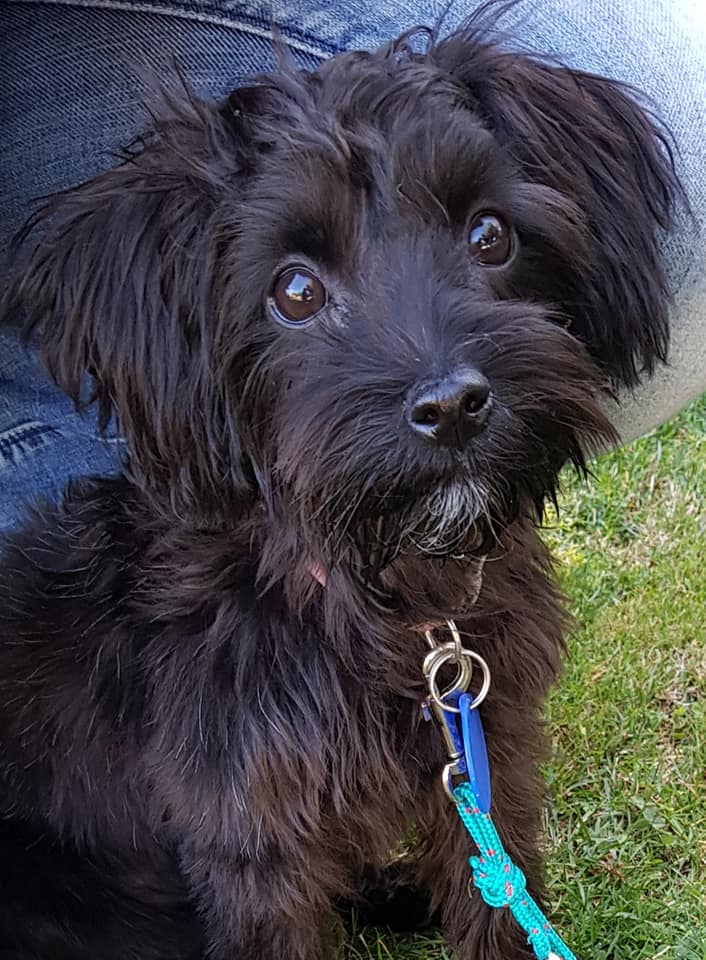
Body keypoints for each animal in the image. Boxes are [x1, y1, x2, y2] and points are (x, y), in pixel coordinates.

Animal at [0, 11, 679, 960]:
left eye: (491, 235)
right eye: (294, 289)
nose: (453, 407)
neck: (387, 597)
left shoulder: (486, 752)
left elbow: (497, 888)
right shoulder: (253, 834)